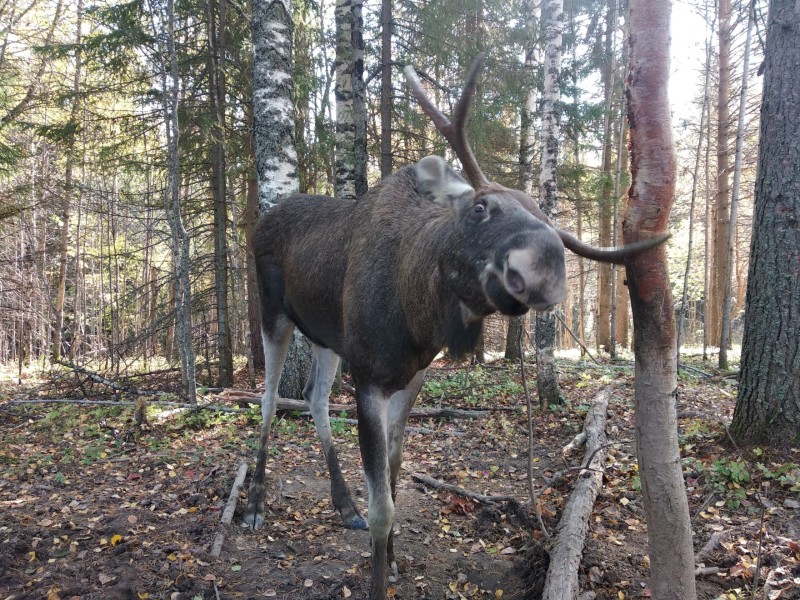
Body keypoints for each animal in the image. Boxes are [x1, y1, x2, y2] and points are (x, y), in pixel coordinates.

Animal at [244, 56, 668, 600]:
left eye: (553, 230)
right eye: (480, 207)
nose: (542, 266)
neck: (416, 316)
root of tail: (261, 219)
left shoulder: (411, 375)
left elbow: (396, 472)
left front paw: (393, 560)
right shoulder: (369, 378)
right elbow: (384, 508)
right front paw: (378, 572)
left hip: (327, 337)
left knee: (315, 398)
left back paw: (343, 504)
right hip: (273, 313)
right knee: (269, 399)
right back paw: (255, 505)